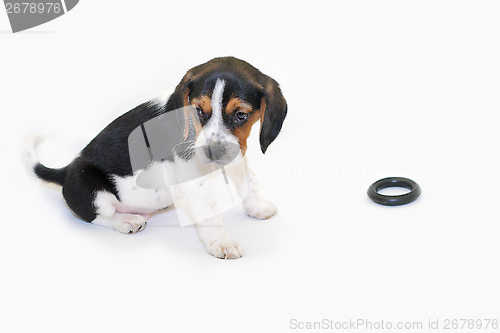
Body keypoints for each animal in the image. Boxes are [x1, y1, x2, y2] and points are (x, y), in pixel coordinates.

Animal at [25, 56, 288, 260]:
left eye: (241, 115)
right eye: (198, 111)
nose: (212, 153)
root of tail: (66, 170)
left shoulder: (235, 155)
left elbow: (249, 180)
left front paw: (256, 206)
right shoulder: (195, 180)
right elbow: (211, 211)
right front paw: (221, 243)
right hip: (88, 185)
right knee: (97, 216)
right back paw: (126, 221)